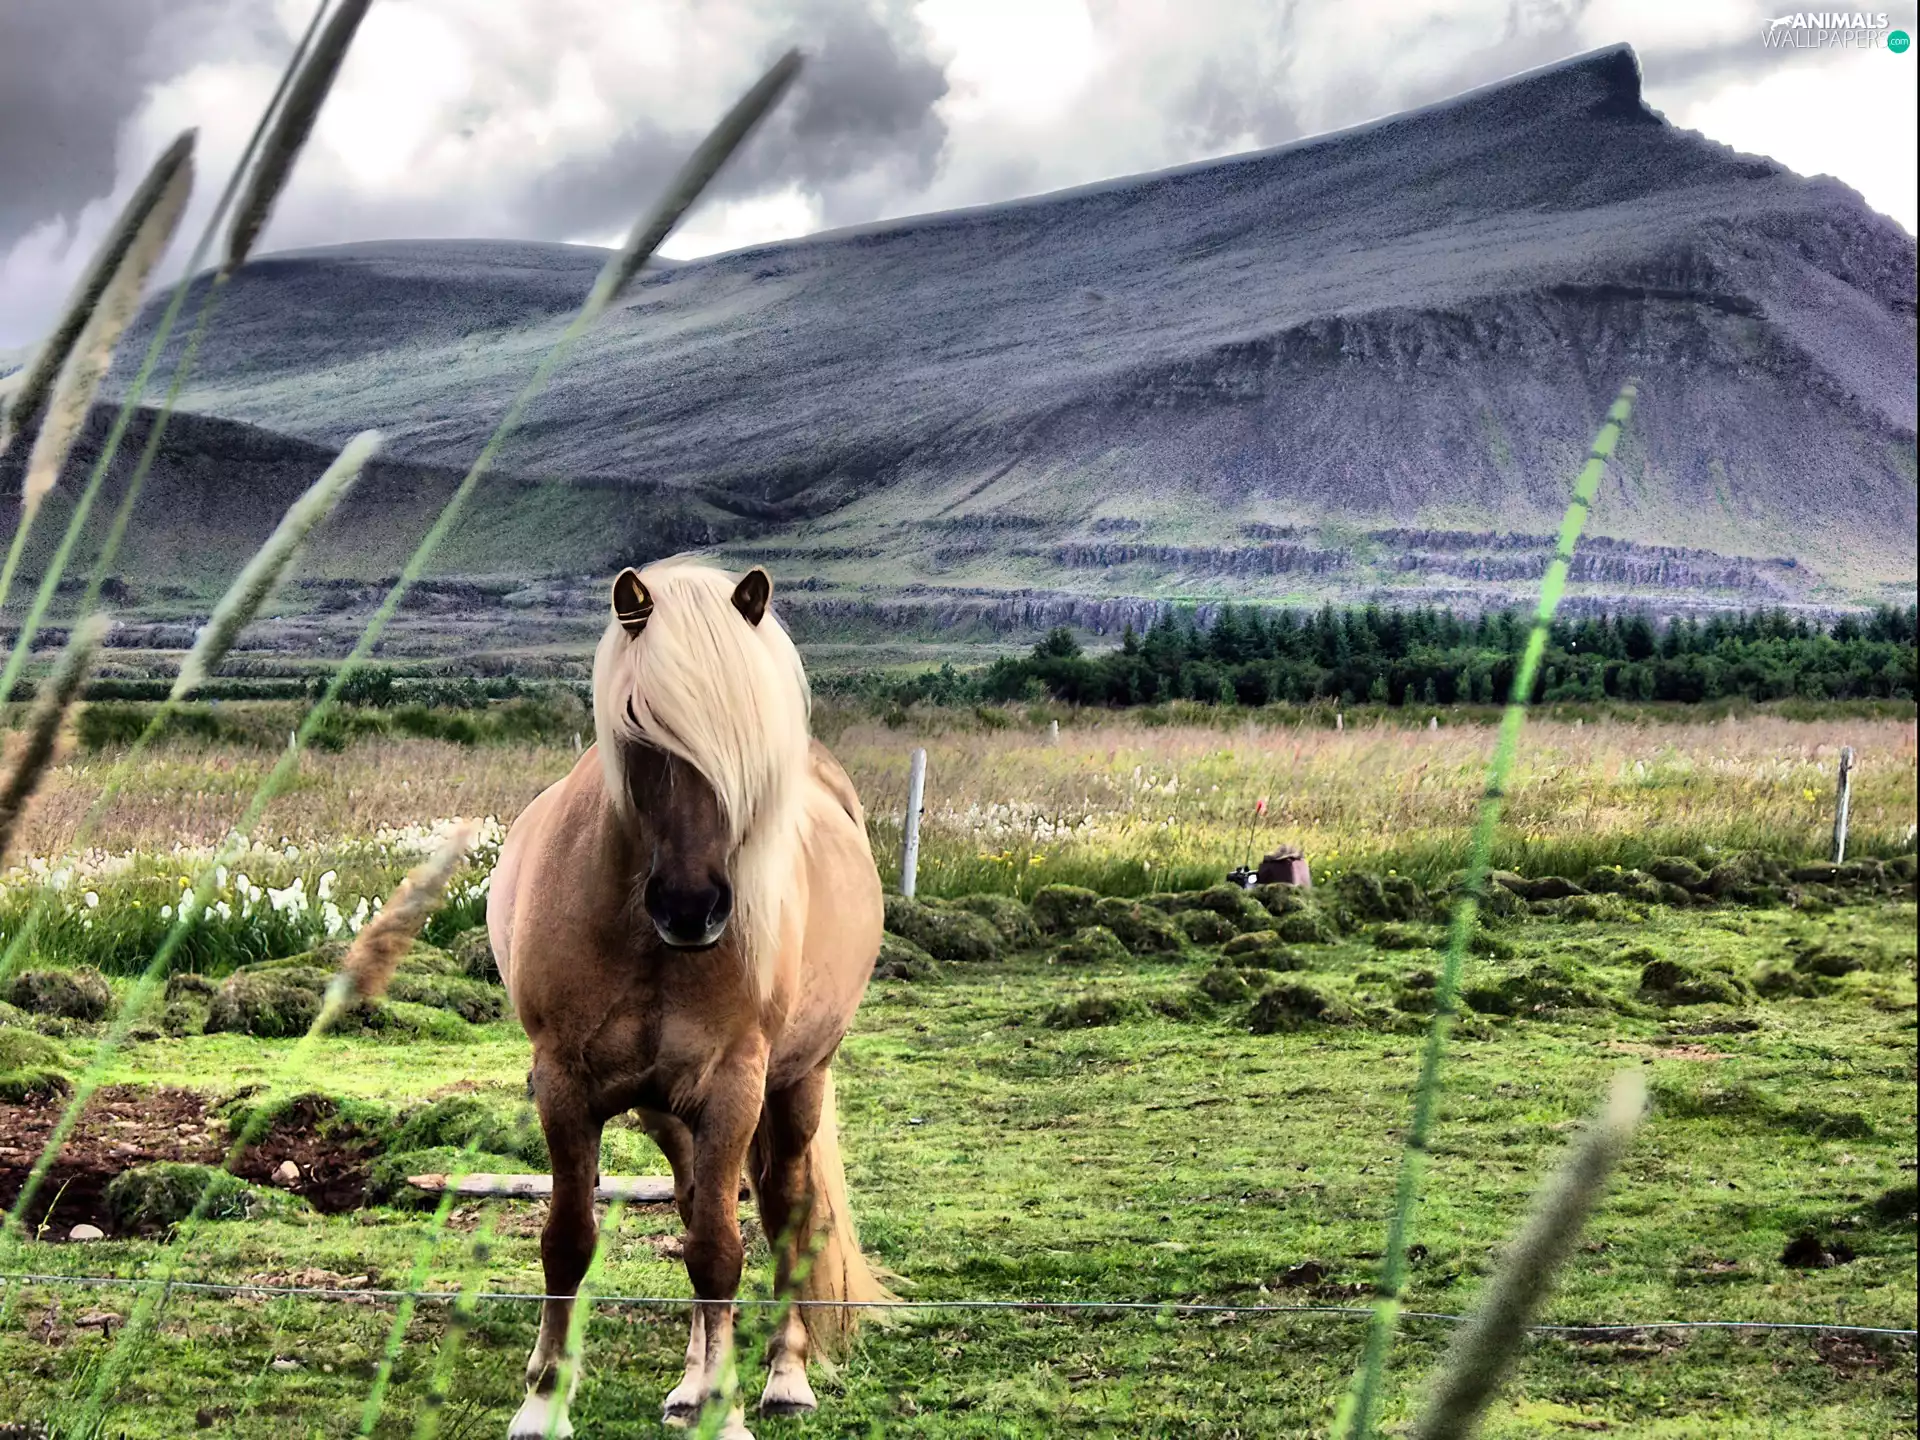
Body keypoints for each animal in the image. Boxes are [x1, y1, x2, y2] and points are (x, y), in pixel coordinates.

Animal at [487, 556, 892, 1439]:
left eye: (752, 742)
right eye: (640, 724)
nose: (692, 908)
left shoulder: (734, 1087)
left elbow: (721, 1254)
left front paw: (730, 1411)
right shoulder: (565, 1084)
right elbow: (568, 1239)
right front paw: (544, 1402)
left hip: (795, 1085)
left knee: (781, 1214)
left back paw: (779, 1376)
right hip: (664, 1110)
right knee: (694, 1204)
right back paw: (690, 1378)